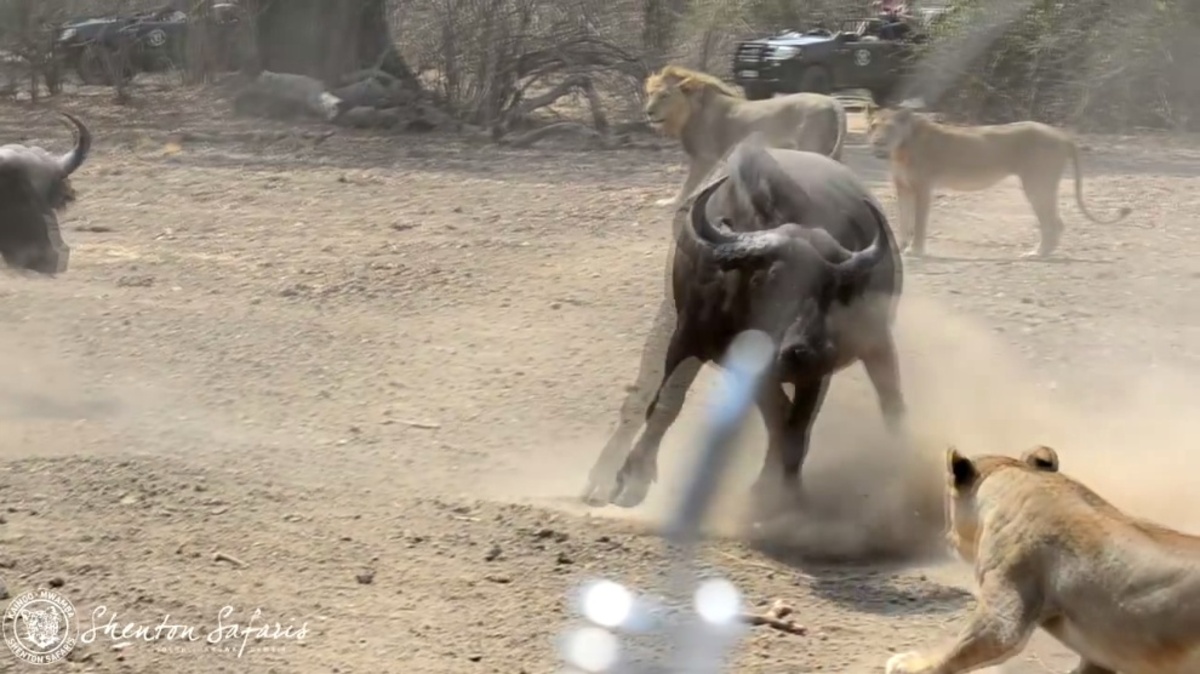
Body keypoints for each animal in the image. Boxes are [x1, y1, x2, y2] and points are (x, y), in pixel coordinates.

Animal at [583, 134, 907, 513]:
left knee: (887, 402)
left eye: (830, 288)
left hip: (876, 342)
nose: (804, 349)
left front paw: (787, 494)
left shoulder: (813, 373)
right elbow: (665, 403)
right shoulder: (687, 337)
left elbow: (797, 425)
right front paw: (631, 480)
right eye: (768, 280)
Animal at [648, 66, 844, 207]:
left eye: (665, 95)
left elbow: (688, 185)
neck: (688, 112)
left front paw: (672, 202)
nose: (648, 112)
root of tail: (832, 101)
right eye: (649, 94)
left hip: (812, 148)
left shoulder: (705, 157)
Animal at [868, 104, 1128, 256]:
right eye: (873, 126)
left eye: (889, 128)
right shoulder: (903, 188)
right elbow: (903, 219)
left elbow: (919, 222)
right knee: (1057, 222)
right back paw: (1043, 252)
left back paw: (1037, 254)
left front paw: (916, 250)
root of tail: (1062, 135)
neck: (900, 149)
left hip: (1036, 183)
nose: (877, 141)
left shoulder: (923, 187)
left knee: (1053, 222)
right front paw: (900, 247)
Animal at [888, 443, 1200, 666]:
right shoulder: (1099, 657)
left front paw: (905, 663)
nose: (948, 537)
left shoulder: (1004, 613)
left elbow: (962, 647)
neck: (1023, 480)